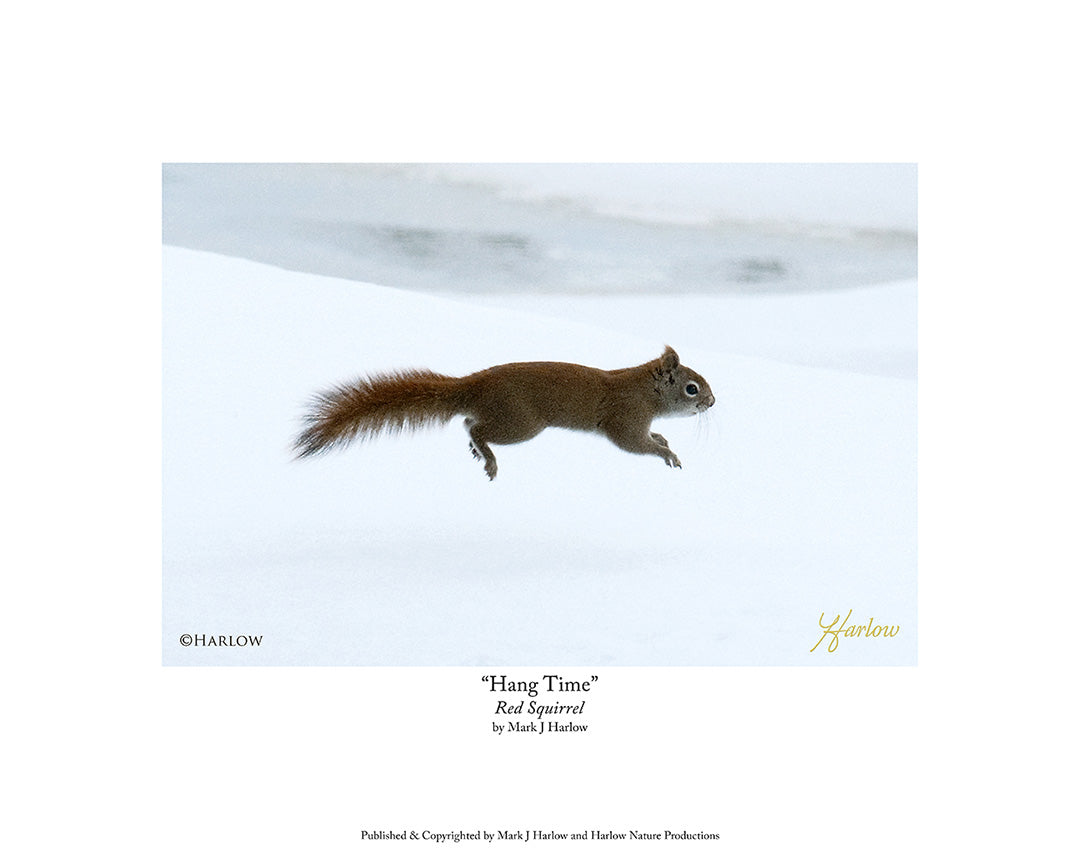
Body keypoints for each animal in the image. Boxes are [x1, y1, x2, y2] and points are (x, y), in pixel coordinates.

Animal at [293, 346, 714, 480]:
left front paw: (663, 438)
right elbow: (634, 444)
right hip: (522, 423)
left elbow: (651, 436)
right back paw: (488, 457)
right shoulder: (625, 419)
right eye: (692, 388)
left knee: (469, 422)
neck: (644, 389)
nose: (712, 403)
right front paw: (668, 453)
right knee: (474, 426)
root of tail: (473, 385)